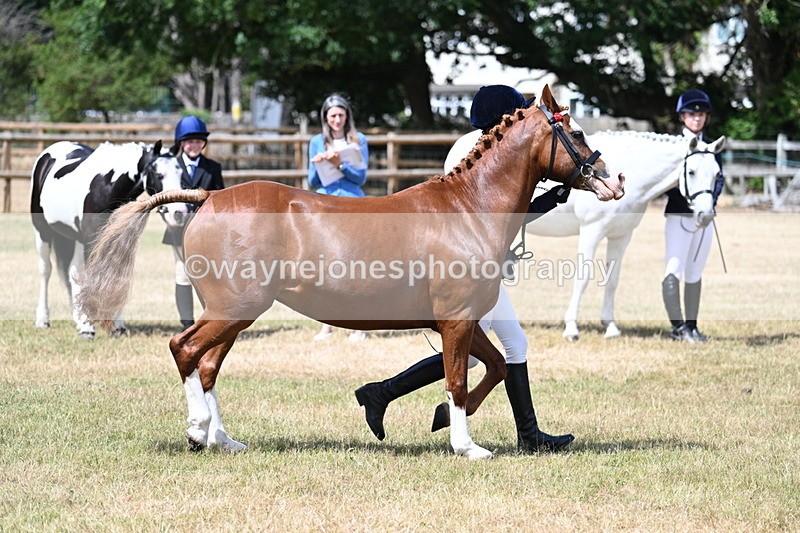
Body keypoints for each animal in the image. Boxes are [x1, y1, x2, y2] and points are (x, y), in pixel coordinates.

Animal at [30, 140, 163, 337]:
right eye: (158, 173)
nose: (180, 210)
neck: (107, 186)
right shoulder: (91, 240)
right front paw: (88, 327)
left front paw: (117, 325)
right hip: (42, 231)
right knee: (46, 270)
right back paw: (44, 320)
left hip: (76, 239)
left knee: (73, 271)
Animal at [78, 85, 625, 460]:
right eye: (576, 133)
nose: (612, 180)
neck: (468, 208)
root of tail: (208, 197)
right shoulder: (456, 319)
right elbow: (457, 378)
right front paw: (466, 446)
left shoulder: (462, 321)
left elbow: (489, 370)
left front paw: (438, 419)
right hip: (235, 308)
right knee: (185, 349)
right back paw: (196, 432)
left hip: (235, 312)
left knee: (207, 365)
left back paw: (224, 440)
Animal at [524, 131, 725, 341]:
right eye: (691, 172)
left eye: (717, 174)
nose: (705, 215)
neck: (631, 172)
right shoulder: (591, 231)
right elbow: (582, 278)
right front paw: (571, 328)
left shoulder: (621, 236)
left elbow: (612, 280)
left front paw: (610, 327)